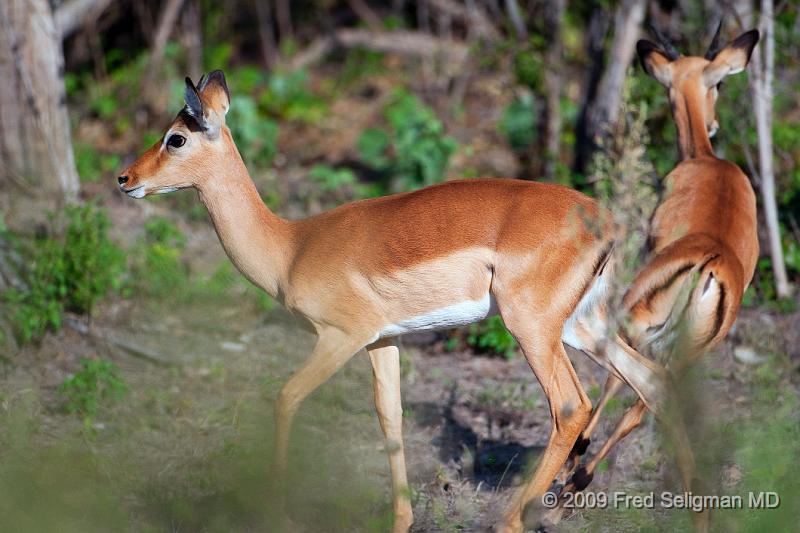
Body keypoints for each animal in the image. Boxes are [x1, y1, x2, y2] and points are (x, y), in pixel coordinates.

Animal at [119, 71, 676, 532]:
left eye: (176, 137)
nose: (125, 178)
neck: (291, 247)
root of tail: (604, 220)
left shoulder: (340, 336)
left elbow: (286, 397)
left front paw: (274, 513)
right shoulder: (382, 341)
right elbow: (390, 418)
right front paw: (402, 520)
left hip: (532, 327)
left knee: (570, 406)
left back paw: (510, 520)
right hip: (584, 329)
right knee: (652, 381)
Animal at [552, 26, 760, 528]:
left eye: (718, 84)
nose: (714, 125)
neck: (706, 159)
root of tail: (709, 266)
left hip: (634, 321)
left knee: (625, 386)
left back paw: (571, 479)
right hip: (685, 352)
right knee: (647, 403)